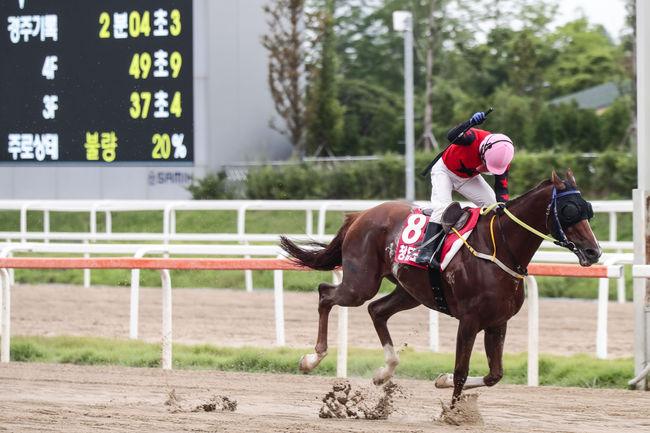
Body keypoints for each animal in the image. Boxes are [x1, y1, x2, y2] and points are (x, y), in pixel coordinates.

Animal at [278, 169, 596, 404]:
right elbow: (461, 370)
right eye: (569, 210)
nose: (593, 252)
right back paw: (313, 358)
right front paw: (453, 414)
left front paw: (442, 382)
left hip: (410, 291)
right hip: (360, 284)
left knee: (377, 310)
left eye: (588, 210)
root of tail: (359, 216)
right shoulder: (469, 321)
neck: (501, 250)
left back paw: (384, 371)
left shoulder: (497, 322)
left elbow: (494, 374)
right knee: (326, 294)